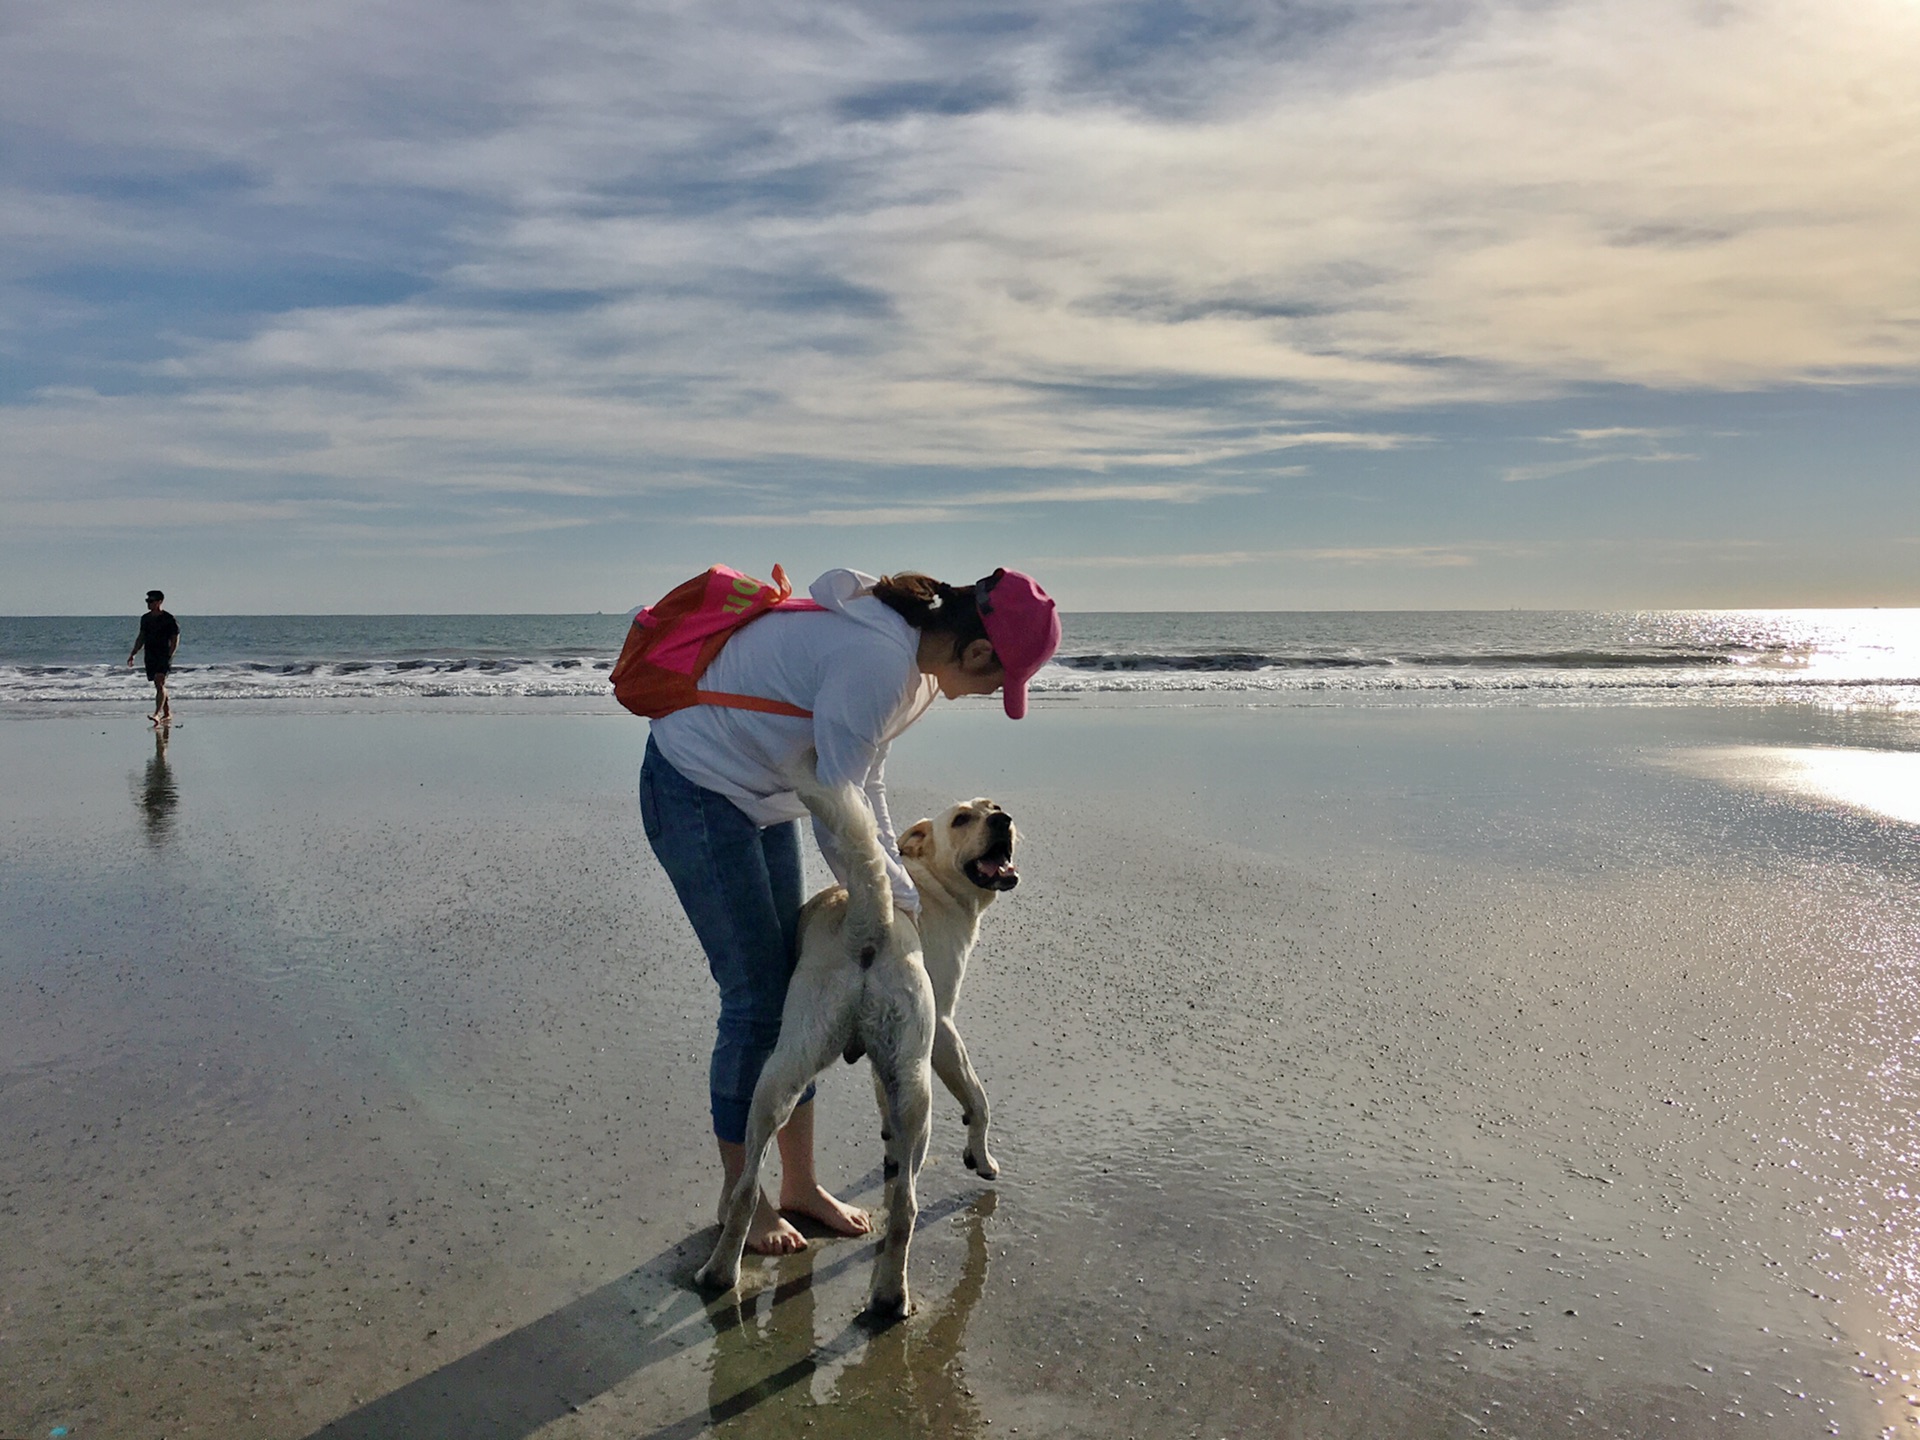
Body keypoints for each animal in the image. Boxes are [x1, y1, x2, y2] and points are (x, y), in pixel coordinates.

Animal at [695, 760, 1021, 1328]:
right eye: (961, 819)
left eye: (993, 807)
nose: (1003, 820)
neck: (932, 884)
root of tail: (871, 920)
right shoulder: (943, 1028)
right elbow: (978, 1098)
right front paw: (981, 1158)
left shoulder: (888, 1059)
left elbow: (885, 1112)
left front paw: (891, 1151)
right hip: (903, 1080)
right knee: (903, 1205)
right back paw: (886, 1296)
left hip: (784, 1076)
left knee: (748, 1187)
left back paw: (727, 1273)